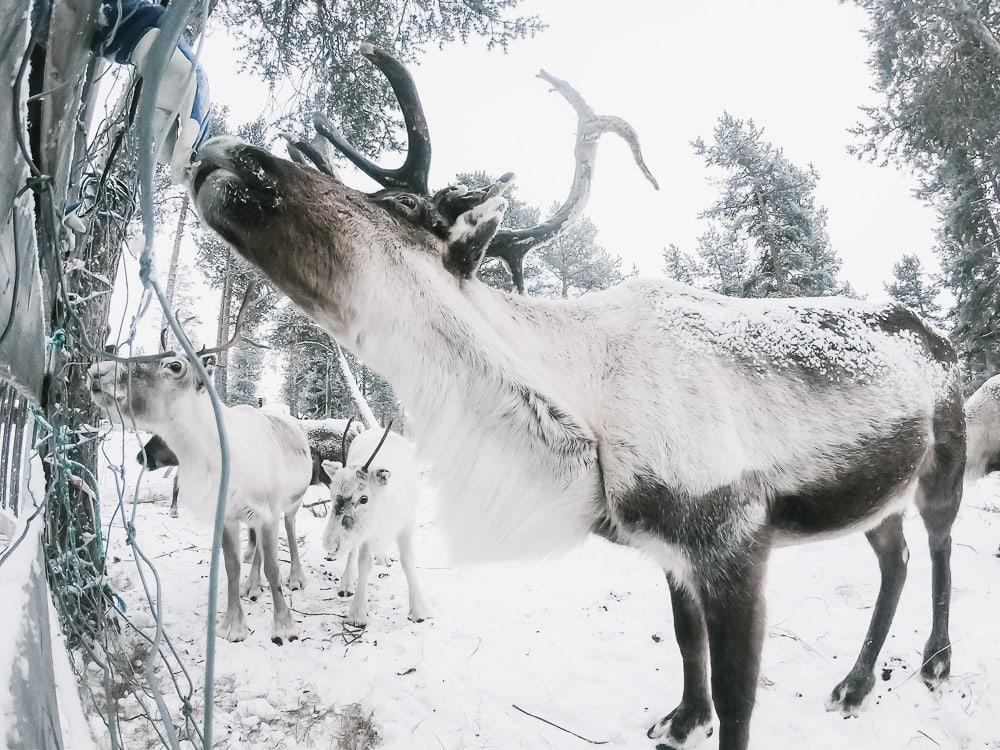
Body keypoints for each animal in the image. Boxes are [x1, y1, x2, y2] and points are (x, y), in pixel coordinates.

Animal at [322, 424, 428, 628]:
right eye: (331, 496)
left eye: (364, 499)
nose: (330, 545)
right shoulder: (367, 534)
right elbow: (363, 563)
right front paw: (357, 614)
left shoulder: (407, 524)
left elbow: (408, 560)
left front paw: (419, 611)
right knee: (353, 552)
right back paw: (347, 583)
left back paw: (383, 558)